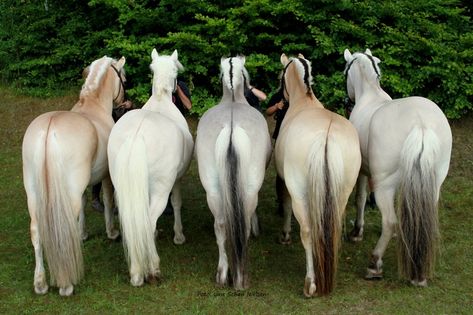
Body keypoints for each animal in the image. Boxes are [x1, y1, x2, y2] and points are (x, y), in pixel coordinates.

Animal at [108, 48, 193, 286]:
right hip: (161, 189)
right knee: (149, 220)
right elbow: (177, 203)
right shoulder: (176, 180)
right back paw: (152, 268)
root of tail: (136, 137)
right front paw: (179, 236)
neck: (161, 101)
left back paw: (136, 270)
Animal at [195, 55, 270, 290]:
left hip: (212, 189)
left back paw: (222, 273)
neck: (233, 101)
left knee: (219, 225)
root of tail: (231, 126)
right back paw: (240, 277)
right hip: (250, 189)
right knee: (242, 222)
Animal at [274, 53, 360, 298]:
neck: (304, 102)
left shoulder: (285, 183)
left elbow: (285, 206)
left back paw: (311, 282)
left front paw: (285, 236)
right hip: (342, 193)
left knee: (307, 231)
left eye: (280, 76)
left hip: (300, 194)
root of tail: (326, 137)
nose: (278, 98)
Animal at [344, 48, 452, 286]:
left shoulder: (363, 171)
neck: (371, 94)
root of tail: (421, 124)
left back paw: (374, 264)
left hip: (383, 185)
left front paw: (357, 232)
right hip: (433, 184)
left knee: (390, 221)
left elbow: (360, 199)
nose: (348, 100)